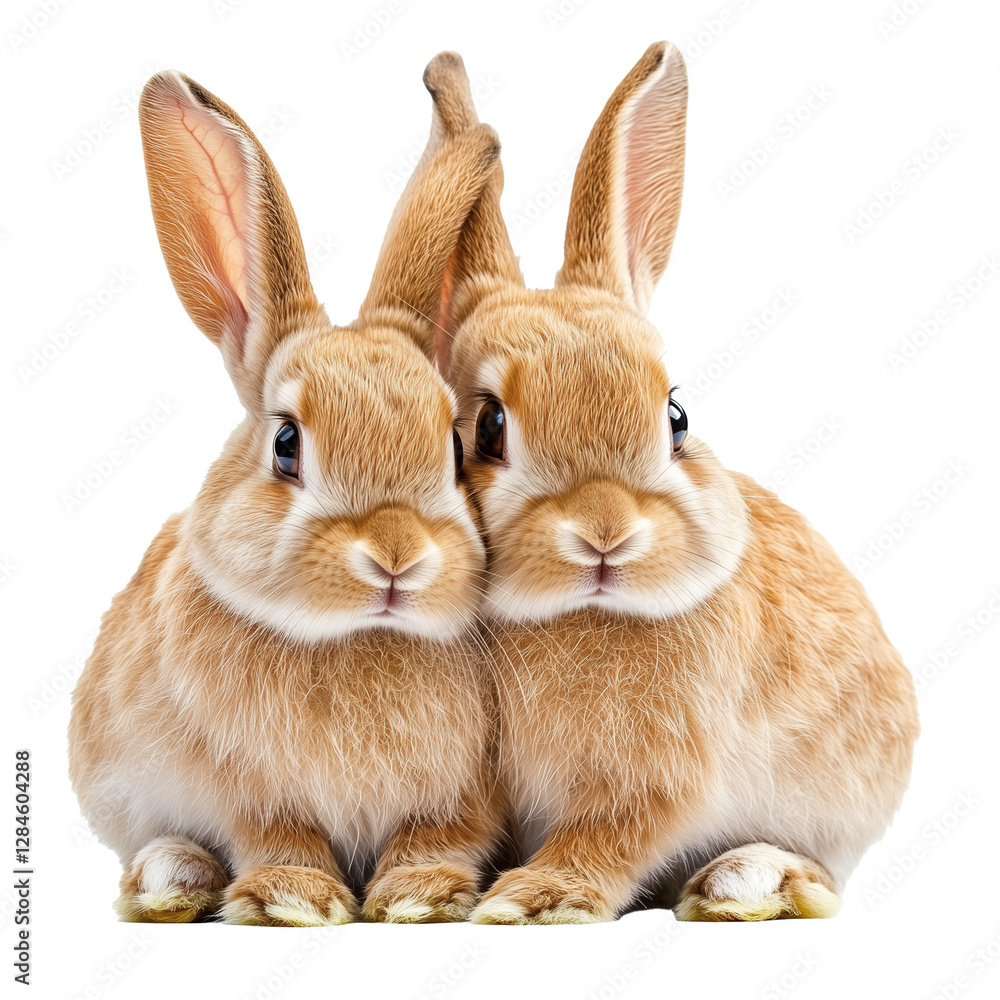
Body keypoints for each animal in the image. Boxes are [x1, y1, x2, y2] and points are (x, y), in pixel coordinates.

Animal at [67, 69, 506, 925]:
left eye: (453, 445)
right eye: (286, 445)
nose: (396, 555)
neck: (354, 639)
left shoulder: (460, 800)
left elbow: (437, 836)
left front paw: (419, 896)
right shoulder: (249, 795)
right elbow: (278, 836)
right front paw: (293, 900)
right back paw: (171, 877)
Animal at [413, 46, 920, 923]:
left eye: (676, 416)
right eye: (488, 429)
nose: (606, 533)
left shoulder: (656, 780)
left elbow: (612, 833)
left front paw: (537, 898)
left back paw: (746, 880)